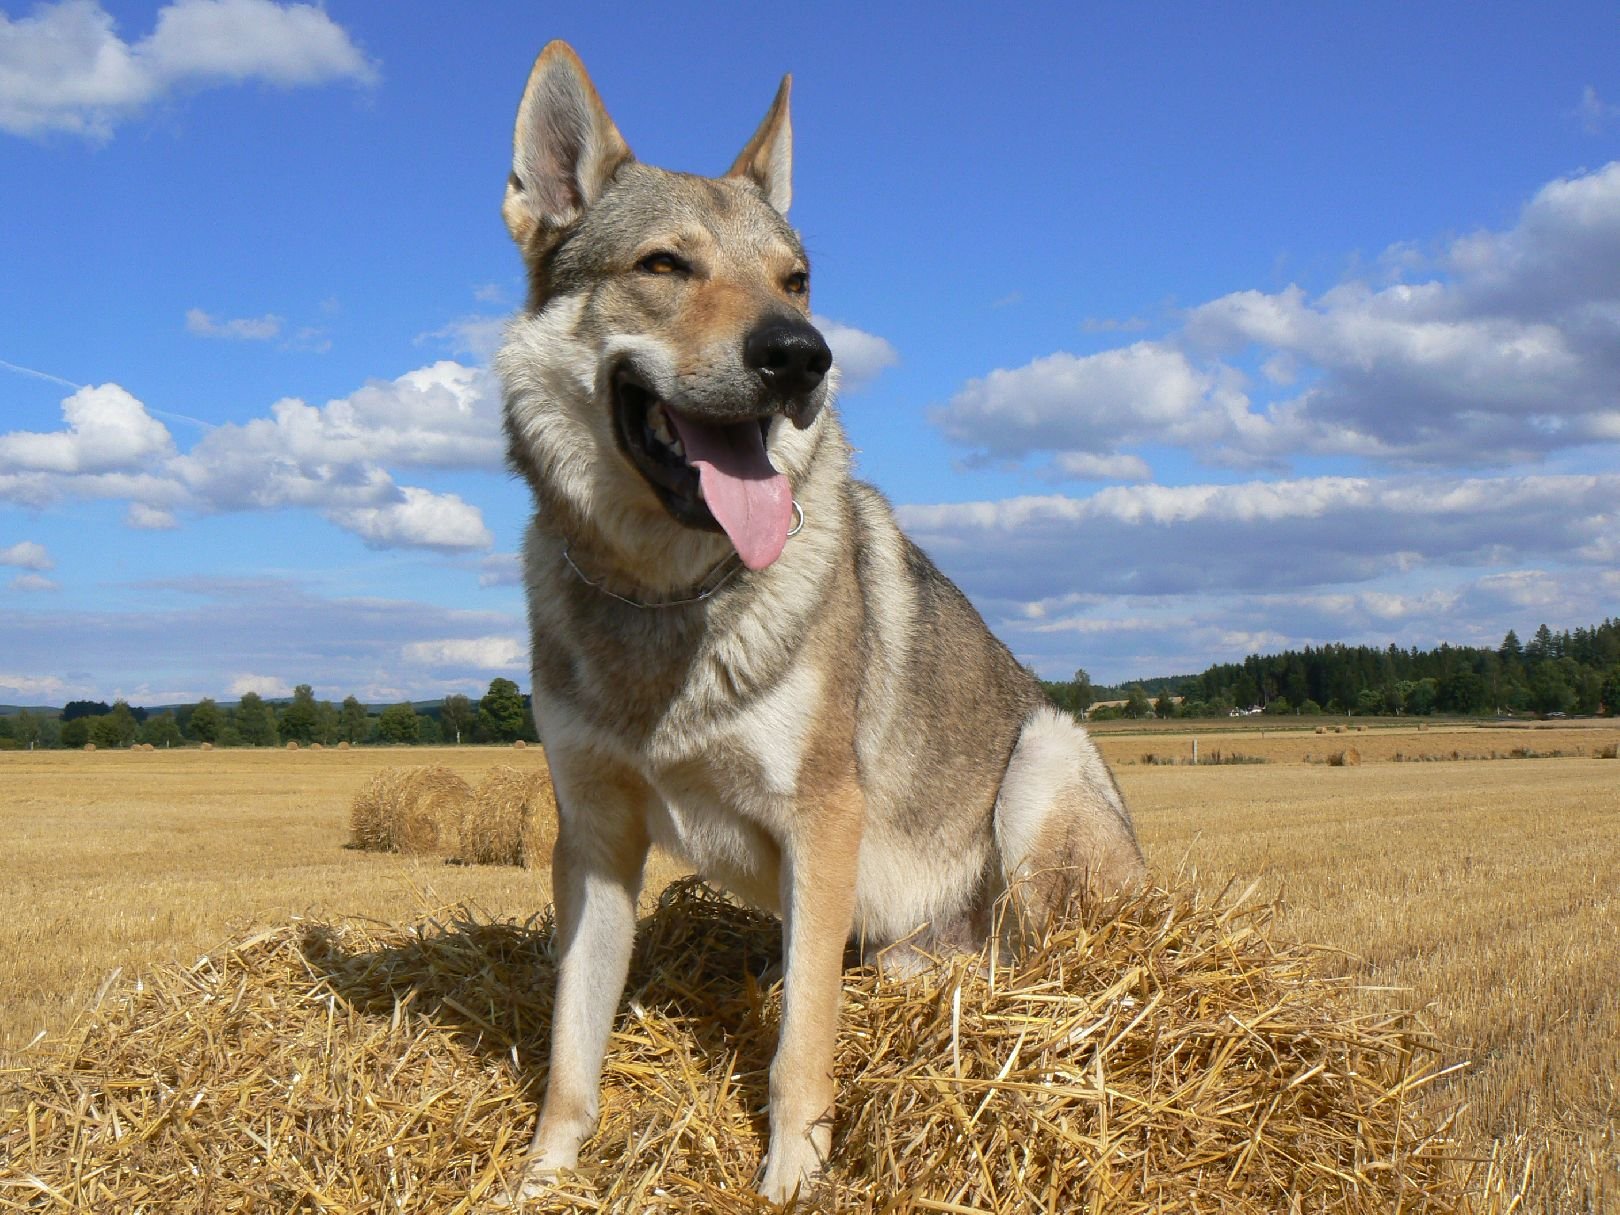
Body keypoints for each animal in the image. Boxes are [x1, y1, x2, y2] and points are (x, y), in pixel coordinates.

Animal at [498, 38, 1146, 1211]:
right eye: (665, 266)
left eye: (795, 280)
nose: (804, 354)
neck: (667, 598)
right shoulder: (595, 840)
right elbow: (572, 1047)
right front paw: (543, 1177)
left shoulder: (823, 823)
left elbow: (800, 1040)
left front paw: (793, 1174)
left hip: (1043, 758)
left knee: (1045, 970)